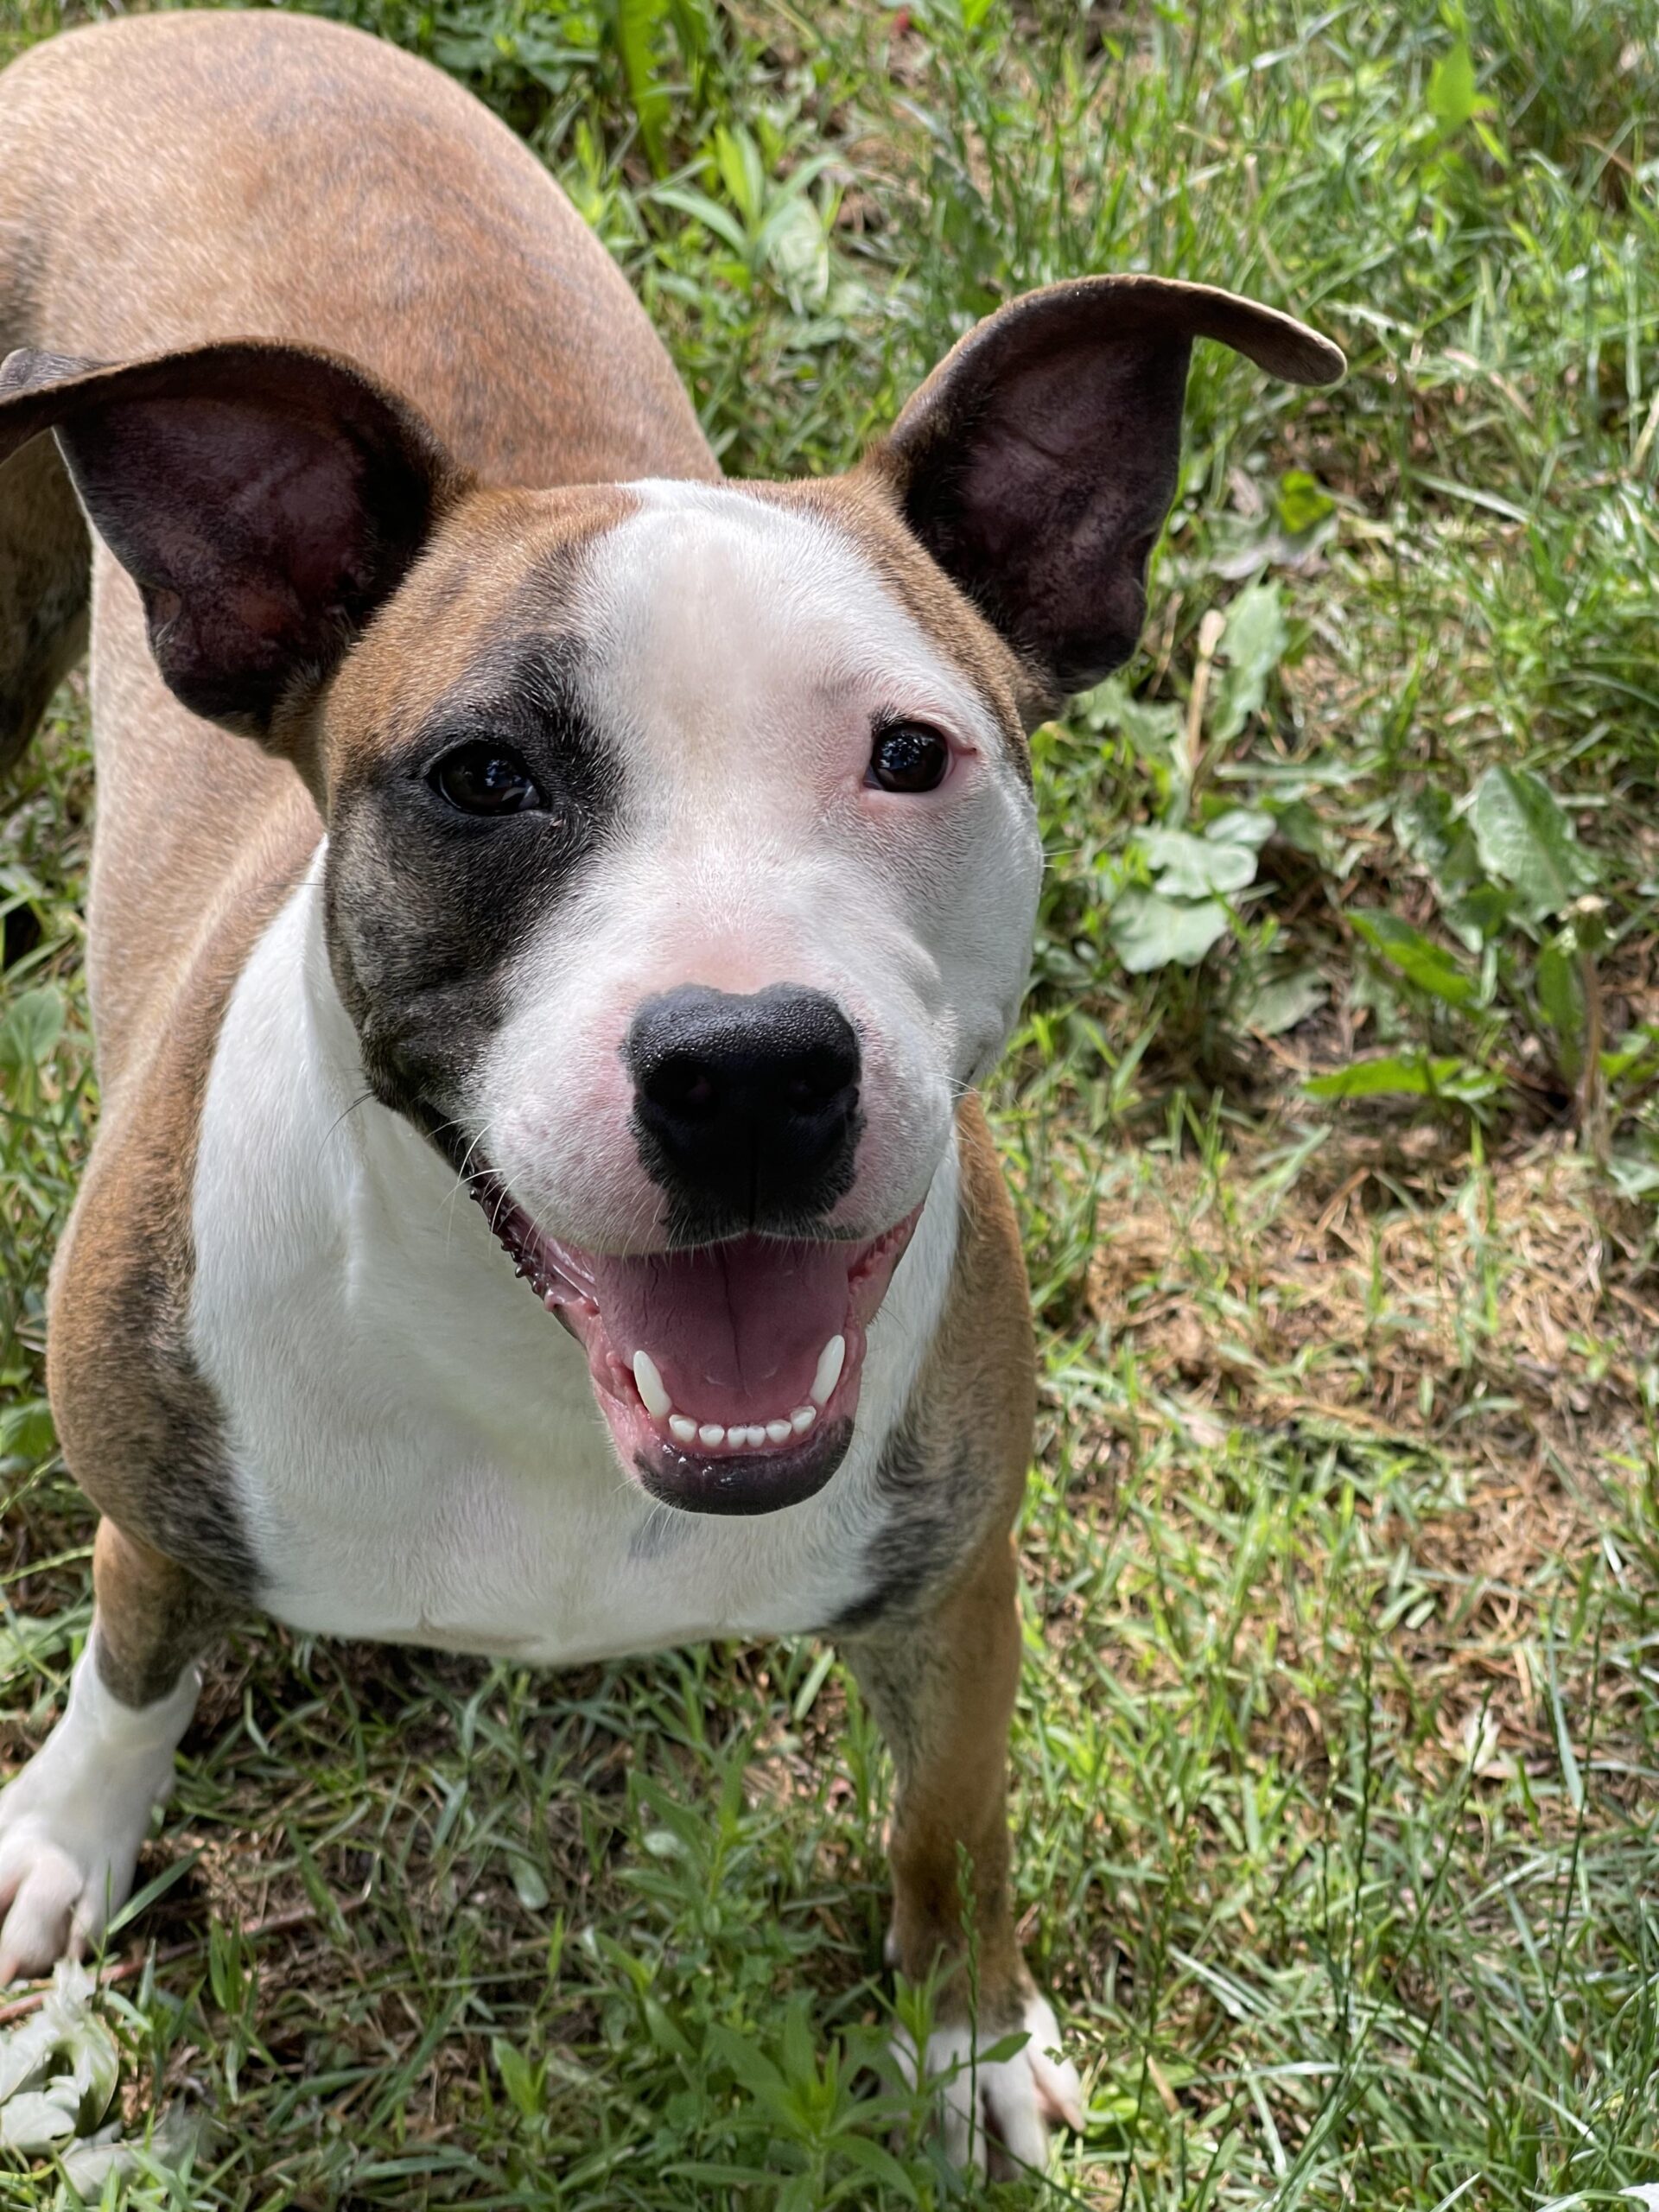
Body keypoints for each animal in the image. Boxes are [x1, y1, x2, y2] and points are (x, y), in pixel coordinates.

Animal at [0, 9, 1353, 2167]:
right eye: (481, 777)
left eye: (910, 752)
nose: (748, 1067)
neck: (542, 1400)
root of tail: (180, 31)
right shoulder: (153, 1471)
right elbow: (133, 1645)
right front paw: (64, 1833)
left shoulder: (956, 1574)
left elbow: (953, 1830)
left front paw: (965, 2041)